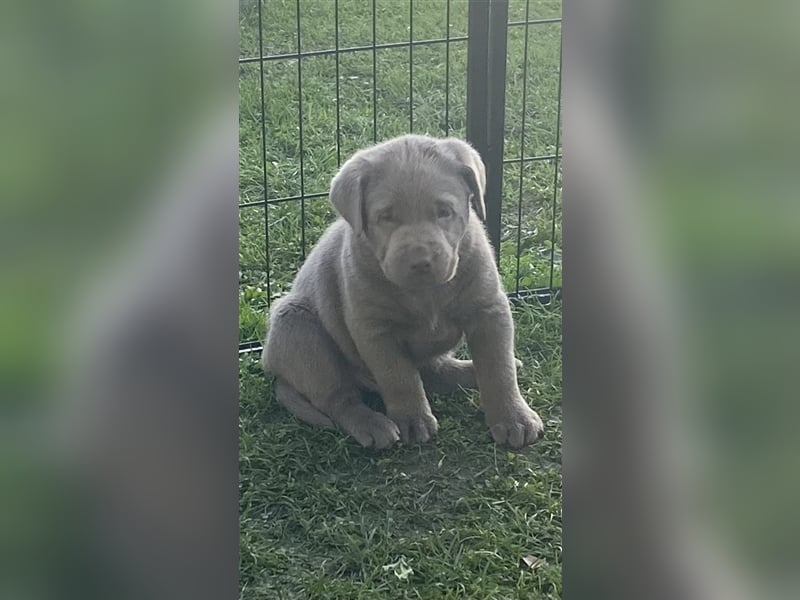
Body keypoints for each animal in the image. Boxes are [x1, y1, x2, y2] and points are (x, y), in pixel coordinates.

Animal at [262, 134, 544, 448]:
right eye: (386, 216)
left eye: (444, 212)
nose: (420, 261)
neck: (426, 294)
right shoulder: (374, 329)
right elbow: (399, 377)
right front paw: (412, 420)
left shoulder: (489, 310)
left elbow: (498, 368)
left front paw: (514, 418)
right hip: (298, 326)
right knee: (339, 398)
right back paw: (373, 425)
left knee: (436, 371)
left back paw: (472, 371)